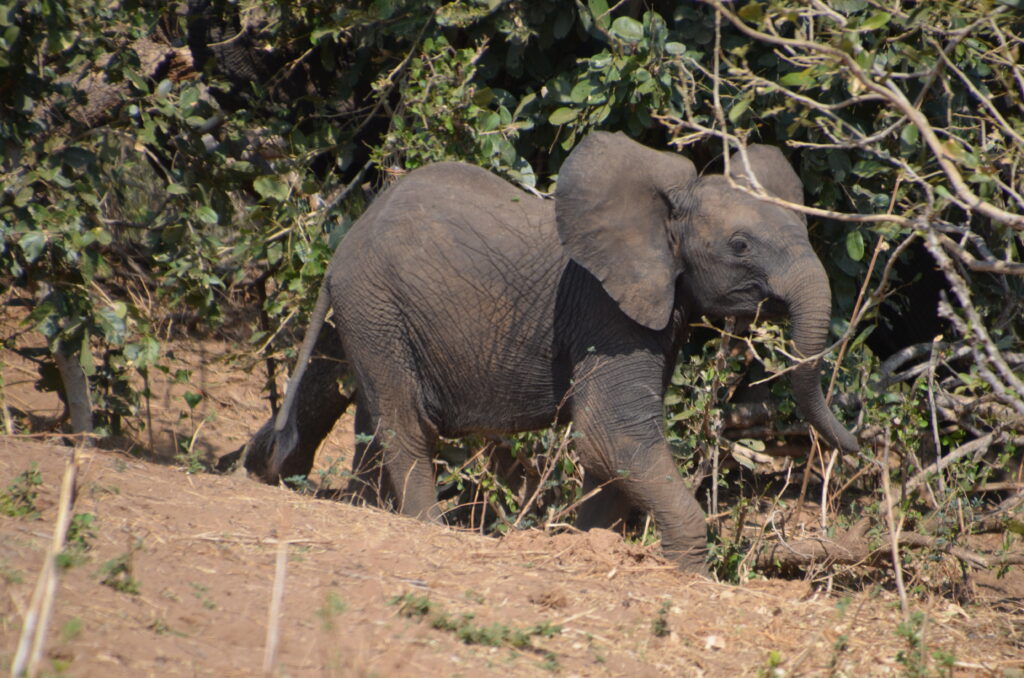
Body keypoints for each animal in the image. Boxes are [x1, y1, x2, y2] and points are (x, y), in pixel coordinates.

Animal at [237, 131, 859, 574]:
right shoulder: (605, 310)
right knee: (404, 422)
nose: (857, 446)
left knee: (361, 410)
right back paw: (429, 526)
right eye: (740, 246)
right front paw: (688, 573)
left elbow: (608, 450)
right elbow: (611, 433)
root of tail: (343, 245)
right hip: (377, 303)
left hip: (372, 314)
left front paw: (593, 546)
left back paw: (360, 506)